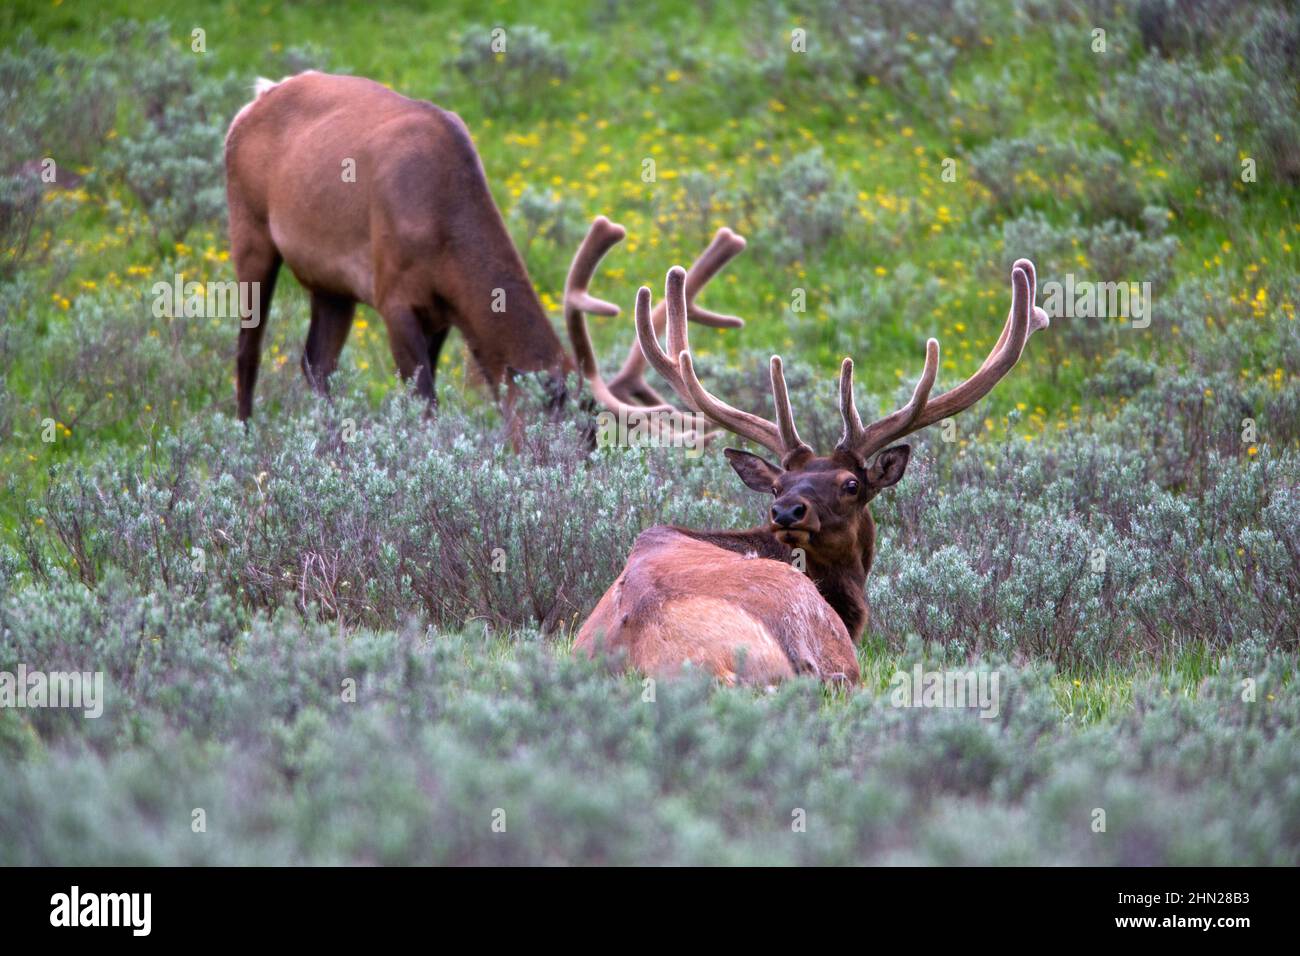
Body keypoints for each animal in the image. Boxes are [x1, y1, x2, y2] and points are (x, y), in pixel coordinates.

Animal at [222, 70, 743, 421]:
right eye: (555, 426)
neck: (445, 238)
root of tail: (254, 100)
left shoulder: (439, 314)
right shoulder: (393, 297)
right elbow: (425, 405)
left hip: (330, 284)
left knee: (316, 364)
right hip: (249, 231)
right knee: (249, 351)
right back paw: (245, 434)